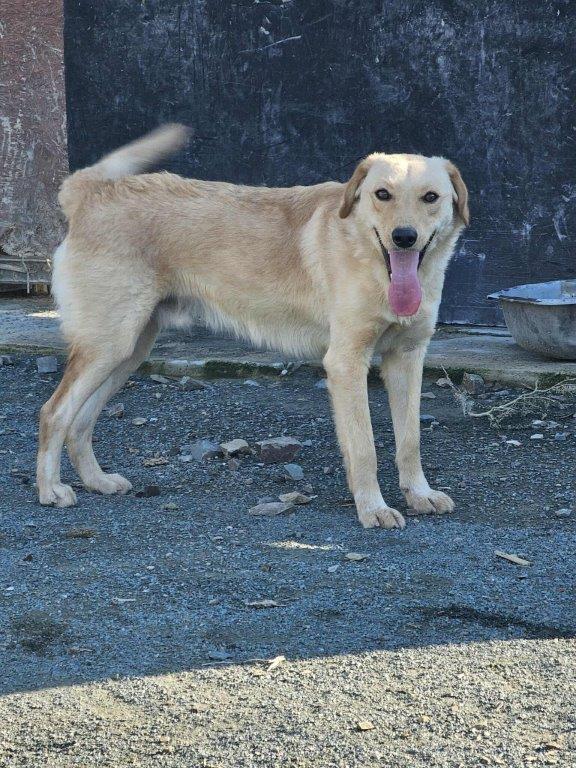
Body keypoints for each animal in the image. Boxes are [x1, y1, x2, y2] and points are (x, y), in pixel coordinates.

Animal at [37, 125, 469, 529]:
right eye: (382, 194)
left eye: (431, 198)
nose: (404, 237)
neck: (372, 261)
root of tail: (89, 192)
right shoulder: (346, 363)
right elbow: (364, 448)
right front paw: (373, 508)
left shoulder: (407, 359)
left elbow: (409, 440)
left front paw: (419, 494)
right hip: (108, 345)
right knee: (54, 413)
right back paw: (50, 489)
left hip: (128, 351)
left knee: (81, 421)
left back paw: (97, 481)